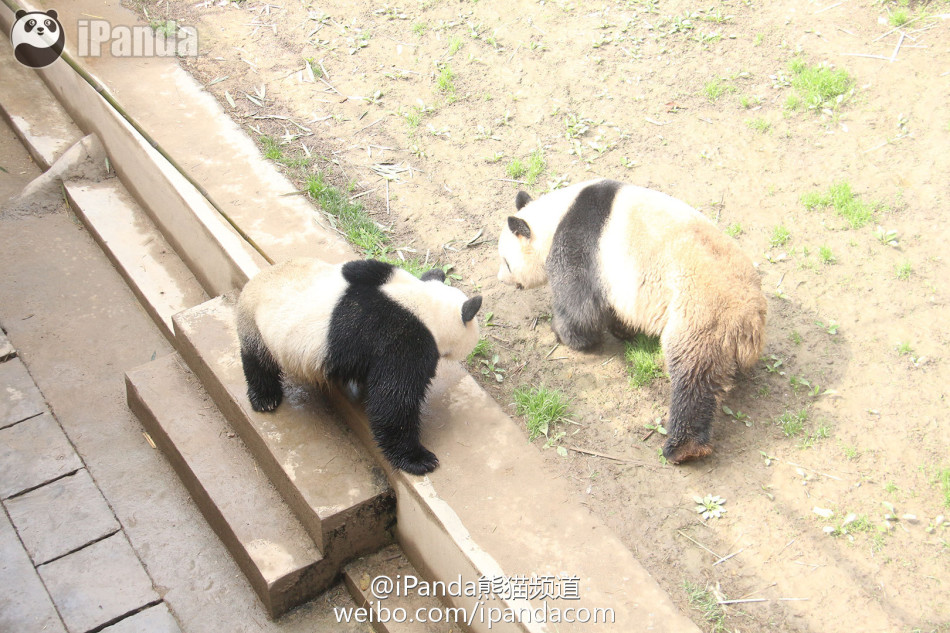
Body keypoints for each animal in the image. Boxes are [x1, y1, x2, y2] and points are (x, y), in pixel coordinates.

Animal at [238, 256, 484, 474]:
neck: (424, 303)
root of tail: (248, 287)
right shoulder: (402, 339)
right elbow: (394, 400)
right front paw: (419, 459)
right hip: (256, 326)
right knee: (257, 361)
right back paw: (265, 398)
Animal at [502, 178, 768, 464]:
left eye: (505, 262)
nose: (500, 279)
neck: (556, 217)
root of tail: (748, 317)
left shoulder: (580, 245)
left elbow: (580, 307)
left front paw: (562, 333)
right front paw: (623, 330)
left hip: (699, 316)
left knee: (693, 377)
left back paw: (684, 449)